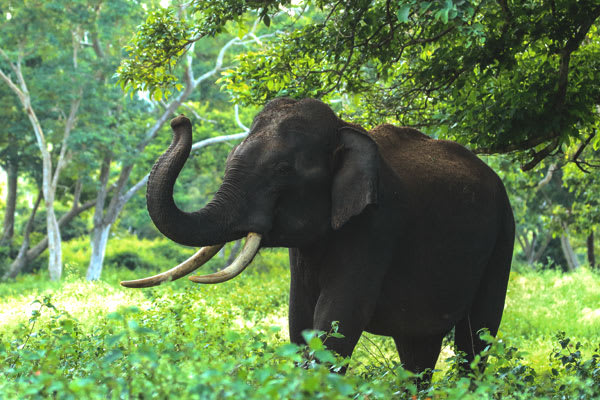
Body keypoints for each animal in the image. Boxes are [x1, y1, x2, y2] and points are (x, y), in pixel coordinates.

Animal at [123, 97, 516, 382]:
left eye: (282, 170)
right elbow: (300, 318)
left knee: (475, 338)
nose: (179, 121)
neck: (345, 128)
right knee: (417, 350)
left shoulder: (378, 225)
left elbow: (337, 319)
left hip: (503, 237)